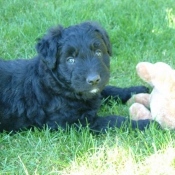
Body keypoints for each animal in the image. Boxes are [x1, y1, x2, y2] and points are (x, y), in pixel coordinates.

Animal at [0, 21, 150, 133]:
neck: (54, 85)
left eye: (98, 52)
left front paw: (136, 90)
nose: (94, 79)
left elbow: (110, 90)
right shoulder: (78, 122)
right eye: (70, 60)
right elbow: (114, 121)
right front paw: (146, 124)